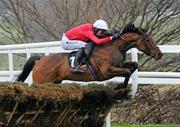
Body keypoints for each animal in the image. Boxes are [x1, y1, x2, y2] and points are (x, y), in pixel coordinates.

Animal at [15, 23, 162, 88]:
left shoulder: (119, 65)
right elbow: (126, 71)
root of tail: (41, 59)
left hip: (54, 82)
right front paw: (120, 86)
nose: (159, 54)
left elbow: (133, 66)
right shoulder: (106, 71)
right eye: (147, 40)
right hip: (41, 82)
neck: (114, 48)